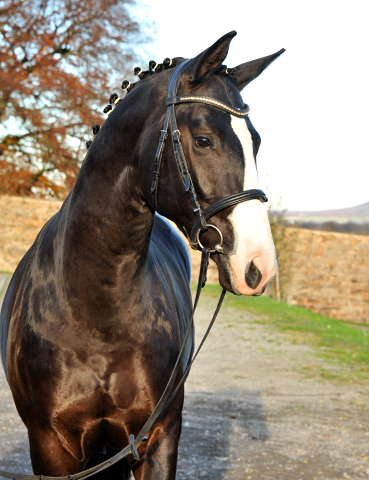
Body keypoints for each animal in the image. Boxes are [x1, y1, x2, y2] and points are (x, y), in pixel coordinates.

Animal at [0, 31, 284, 478]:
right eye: (203, 139)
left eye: (255, 142)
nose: (259, 265)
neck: (95, 315)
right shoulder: (52, 450)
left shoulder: (159, 437)